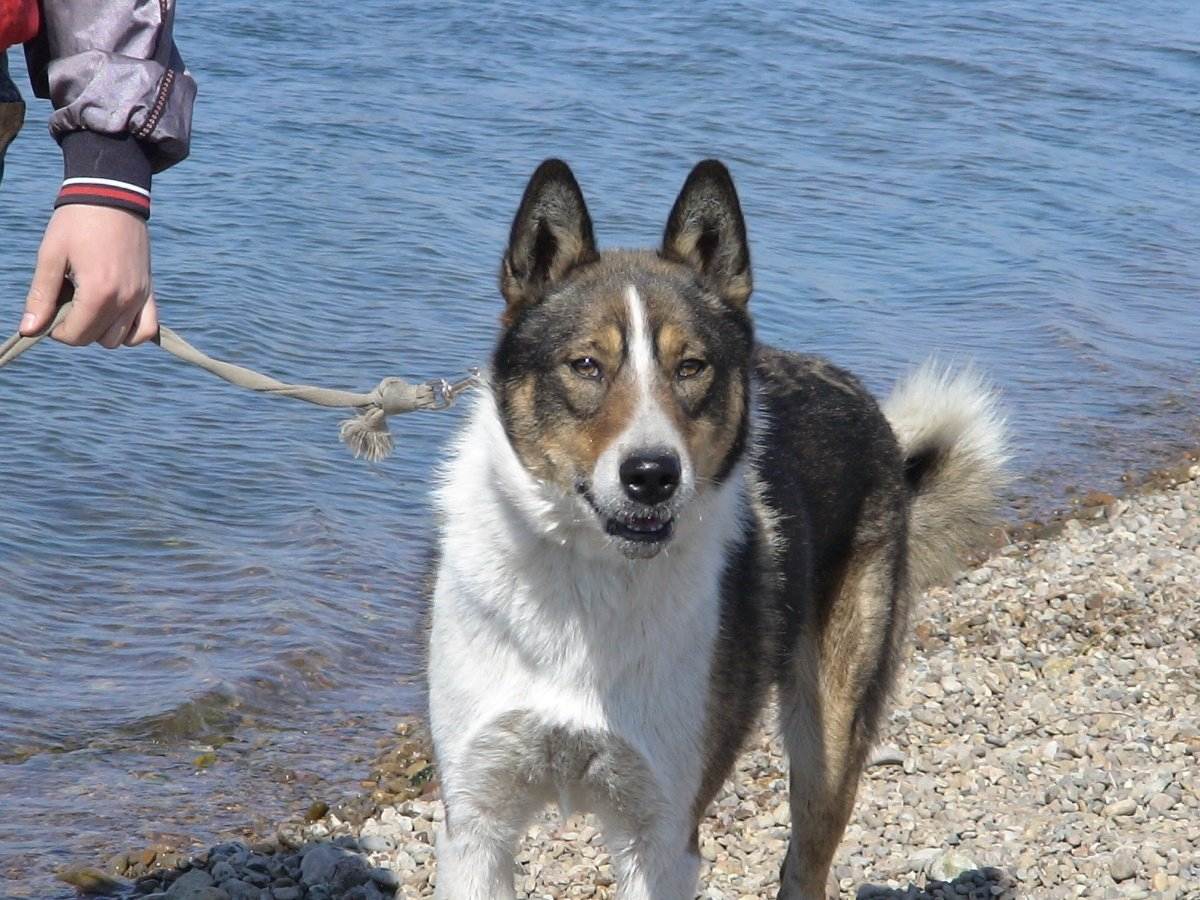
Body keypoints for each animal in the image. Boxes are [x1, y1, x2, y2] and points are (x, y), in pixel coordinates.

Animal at [427, 158, 1008, 897]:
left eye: (691, 367)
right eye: (587, 365)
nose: (652, 474)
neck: (588, 578)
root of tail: (869, 409)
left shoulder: (662, 835)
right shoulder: (476, 824)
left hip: (828, 744)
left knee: (805, 861)